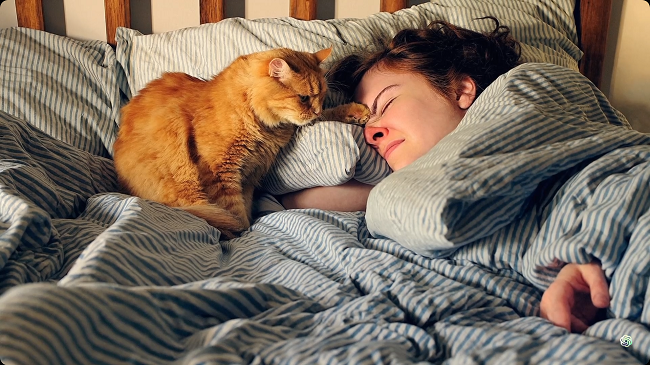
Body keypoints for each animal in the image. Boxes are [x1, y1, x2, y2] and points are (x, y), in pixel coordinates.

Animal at [113, 46, 368, 239]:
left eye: (322, 97)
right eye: (303, 98)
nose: (315, 110)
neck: (264, 127)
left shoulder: (249, 174)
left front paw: (355, 112)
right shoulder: (221, 173)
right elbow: (234, 211)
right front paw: (244, 233)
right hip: (185, 182)